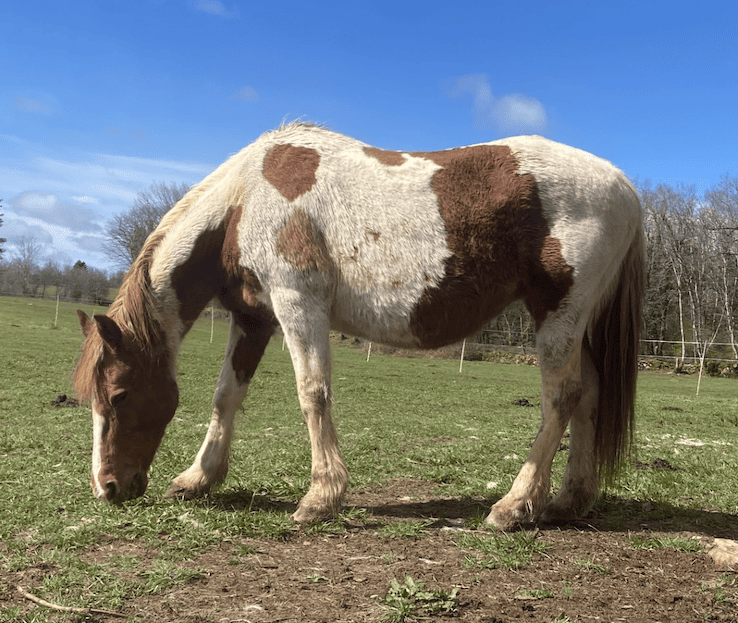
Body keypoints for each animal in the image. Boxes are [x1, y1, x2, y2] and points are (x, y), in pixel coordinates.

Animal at [74, 122, 644, 530]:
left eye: (119, 395)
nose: (107, 488)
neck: (245, 201)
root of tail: (625, 186)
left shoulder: (297, 303)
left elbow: (312, 392)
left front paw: (320, 497)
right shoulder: (254, 317)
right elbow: (226, 396)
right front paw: (198, 478)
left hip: (558, 314)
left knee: (562, 397)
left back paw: (514, 505)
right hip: (574, 325)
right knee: (589, 396)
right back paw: (570, 500)